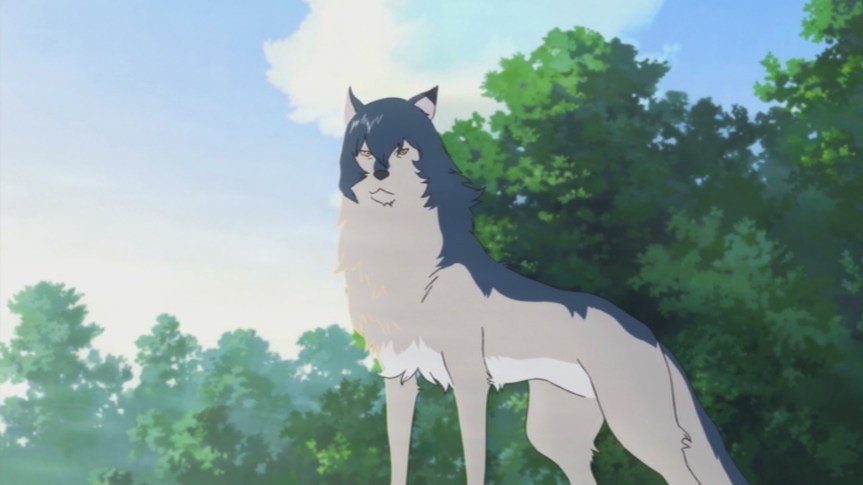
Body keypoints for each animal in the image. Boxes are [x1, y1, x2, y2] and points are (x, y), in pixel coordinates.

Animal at [337, 86, 747, 485]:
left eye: (402, 150)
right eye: (365, 151)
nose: (380, 176)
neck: (403, 260)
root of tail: (650, 334)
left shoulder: (469, 377)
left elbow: (474, 460)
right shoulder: (398, 373)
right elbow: (399, 457)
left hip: (638, 427)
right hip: (555, 437)